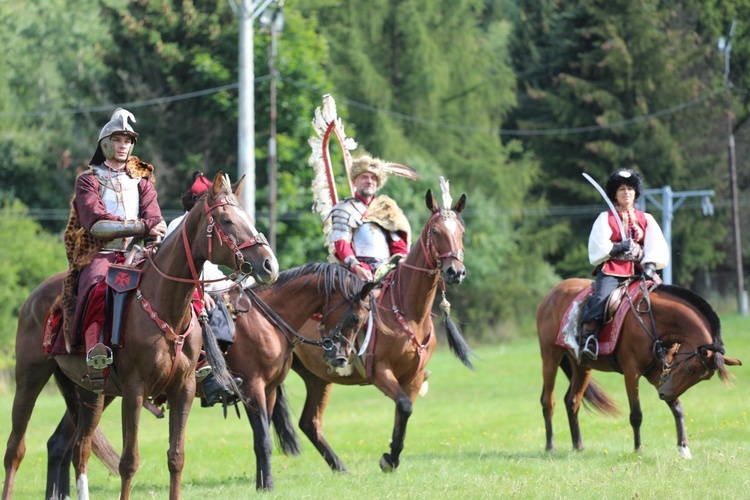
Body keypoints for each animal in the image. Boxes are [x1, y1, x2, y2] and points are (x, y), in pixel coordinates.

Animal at [2, 173, 280, 500]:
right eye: (225, 220)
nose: (269, 265)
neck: (164, 303)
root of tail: (34, 298)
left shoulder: (183, 389)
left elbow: (176, 457)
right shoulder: (135, 390)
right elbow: (129, 461)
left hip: (92, 392)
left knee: (80, 448)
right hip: (30, 378)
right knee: (15, 449)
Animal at [290, 188, 472, 472]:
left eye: (460, 231)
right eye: (435, 231)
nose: (455, 272)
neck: (408, 313)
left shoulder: (413, 377)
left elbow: (403, 410)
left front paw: (393, 455)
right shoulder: (380, 372)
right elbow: (404, 406)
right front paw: (389, 458)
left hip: (316, 377)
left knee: (309, 422)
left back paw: (339, 467)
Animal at [536, 278, 744, 458]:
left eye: (704, 377)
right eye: (692, 369)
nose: (663, 394)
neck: (655, 321)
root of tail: (551, 293)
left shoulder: (658, 373)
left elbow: (677, 408)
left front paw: (683, 448)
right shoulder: (632, 372)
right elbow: (636, 414)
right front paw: (638, 449)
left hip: (581, 366)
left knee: (572, 401)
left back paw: (578, 445)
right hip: (550, 355)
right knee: (548, 401)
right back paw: (550, 446)